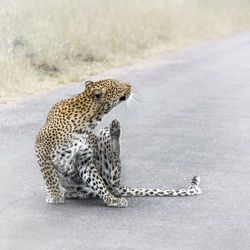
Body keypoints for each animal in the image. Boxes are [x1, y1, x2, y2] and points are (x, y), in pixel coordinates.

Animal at [34, 78, 201, 207]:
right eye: (118, 86)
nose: (130, 85)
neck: (88, 122)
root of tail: (118, 185)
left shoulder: (84, 161)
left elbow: (98, 182)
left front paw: (112, 200)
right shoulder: (41, 148)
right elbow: (49, 175)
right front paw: (54, 195)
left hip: (106, 147)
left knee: (109, 177)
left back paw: (115, 129)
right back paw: (73, 193)